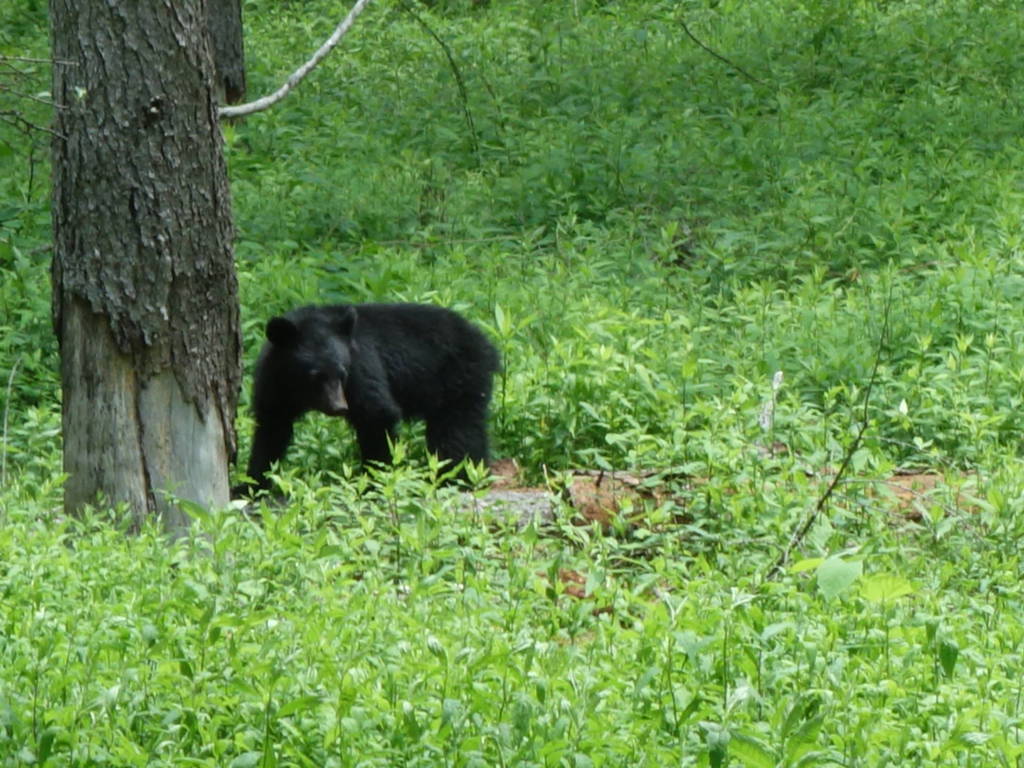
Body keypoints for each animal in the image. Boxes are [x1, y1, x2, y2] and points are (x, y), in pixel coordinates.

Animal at [236, 301, 499, 493]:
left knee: (458, 429)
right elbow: (271, 428)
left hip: (459, 377)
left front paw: (375, 479)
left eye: (341, 373)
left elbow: (376, 413)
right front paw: (251, 483)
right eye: (315, 376)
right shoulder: (274, 384)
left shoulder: (361, 367)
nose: (339, 406)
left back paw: (460, 477)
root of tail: (487, 343)